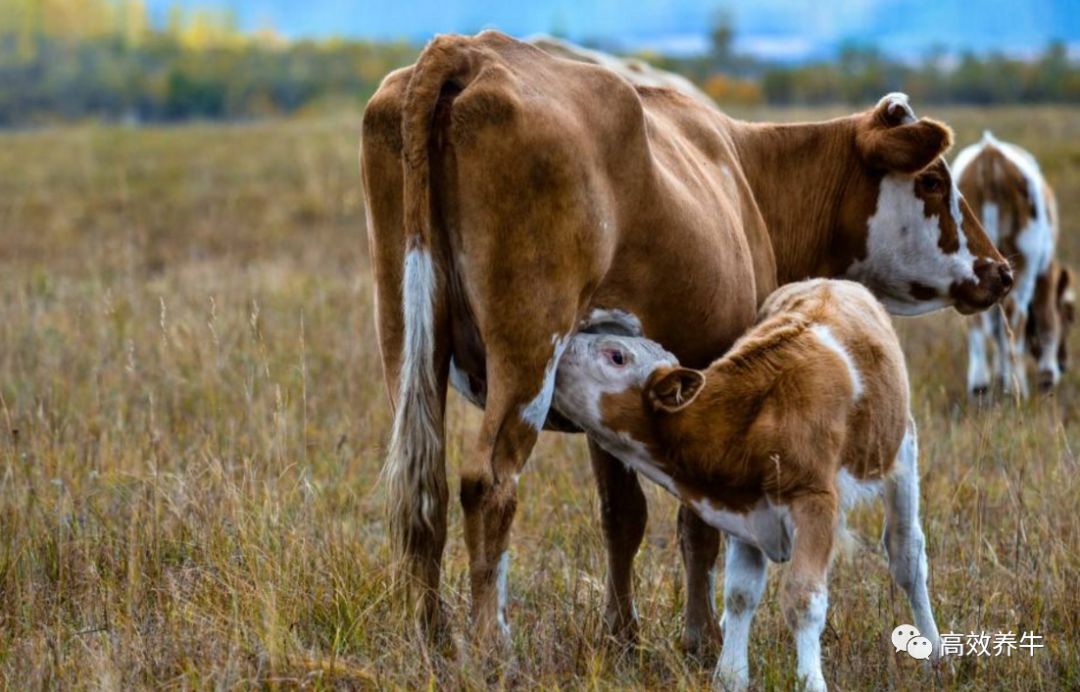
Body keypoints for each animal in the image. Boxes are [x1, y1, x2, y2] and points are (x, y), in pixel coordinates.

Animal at [358, 31, 1006, 647]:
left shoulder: (609, 391)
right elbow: (698, 525)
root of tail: (470, 50)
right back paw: (492, 644)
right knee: (488, 483)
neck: (750, 174)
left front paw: (622, 634)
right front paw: (700, 635)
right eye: (932, 180)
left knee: (424, 487)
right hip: (528, 350)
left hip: (405, 343)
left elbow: (622, 516)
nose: (999, 269)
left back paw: (432, 635)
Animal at [552, 278, 941, 690]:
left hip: (901, 451)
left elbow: (803, 598)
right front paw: (730, 675)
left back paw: (934, 652)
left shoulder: (815, 501)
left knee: (906, 553)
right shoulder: (745, 507)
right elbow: (740, 594)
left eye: (616, 356)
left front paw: (810, 680)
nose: (561, 348)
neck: (750, 420)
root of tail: (830, 282)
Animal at [954, 132, 1071, 392]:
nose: (1064, 363)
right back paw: (1016, 385)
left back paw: (981, 384)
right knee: (1016, 315)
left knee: (979, 320)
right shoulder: (1045, 269)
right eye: (1071, 316)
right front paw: (1048, 374)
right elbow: (1047, 317)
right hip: (1025, 264)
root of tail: (990, 154)